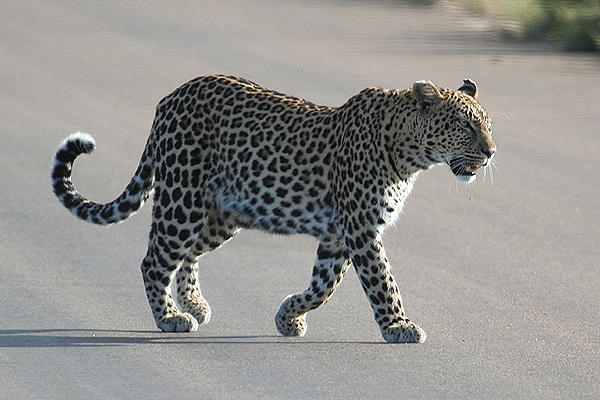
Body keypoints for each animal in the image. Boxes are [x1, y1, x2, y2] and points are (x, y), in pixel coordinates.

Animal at [51, 76, 494, 344]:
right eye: (465, 125)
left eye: (488, 125)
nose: (491, 152)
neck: (409, 154)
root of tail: (170, 97)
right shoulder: (361, 229)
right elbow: (383, 281)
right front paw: (399, 325)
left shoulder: (338, 237)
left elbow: (323, 287)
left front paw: (288, 316)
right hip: (182, 201)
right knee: (155, 259)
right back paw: (170, 318)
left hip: (222, 214)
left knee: (187, 254)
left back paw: (193, 303)